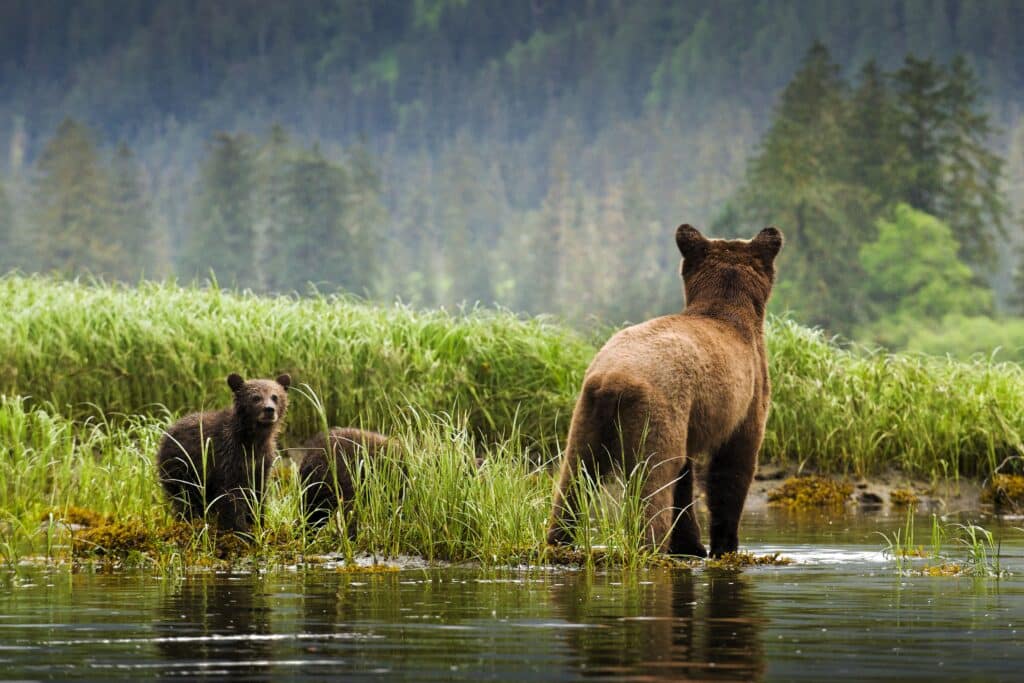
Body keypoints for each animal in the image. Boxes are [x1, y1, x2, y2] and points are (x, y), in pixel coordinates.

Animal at [156, 373, 291, 533]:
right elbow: (232, 494)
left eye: (275, 396)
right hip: (180, 468)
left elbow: (258, 492)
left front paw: (258, 522)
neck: (252, 439)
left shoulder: (262, 461)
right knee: (185, 498)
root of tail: (166, 433)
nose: (269, 410)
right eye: (255, 397)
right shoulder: (228, 456)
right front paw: (241, 529)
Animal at [546, 224, 783, 557]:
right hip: (658, 412)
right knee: (654, 480)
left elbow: (686, 476)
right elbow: (733, 465)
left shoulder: (692, 418)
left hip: (587, 414)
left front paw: (691, 545)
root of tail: (613, 379)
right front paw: (723, 546)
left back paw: (559, 540)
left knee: (576, 475)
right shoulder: (747, 393)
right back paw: (650, 545)